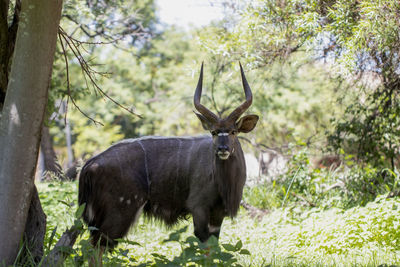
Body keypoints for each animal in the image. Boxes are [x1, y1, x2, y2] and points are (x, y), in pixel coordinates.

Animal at [78, 63, 260, 264]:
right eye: (213, 132)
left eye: (234, 131)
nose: (222, 149)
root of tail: (90, 165)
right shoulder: (199, 208)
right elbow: (205, 250)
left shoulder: (217, 215)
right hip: (118, 213)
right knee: (96, 248)